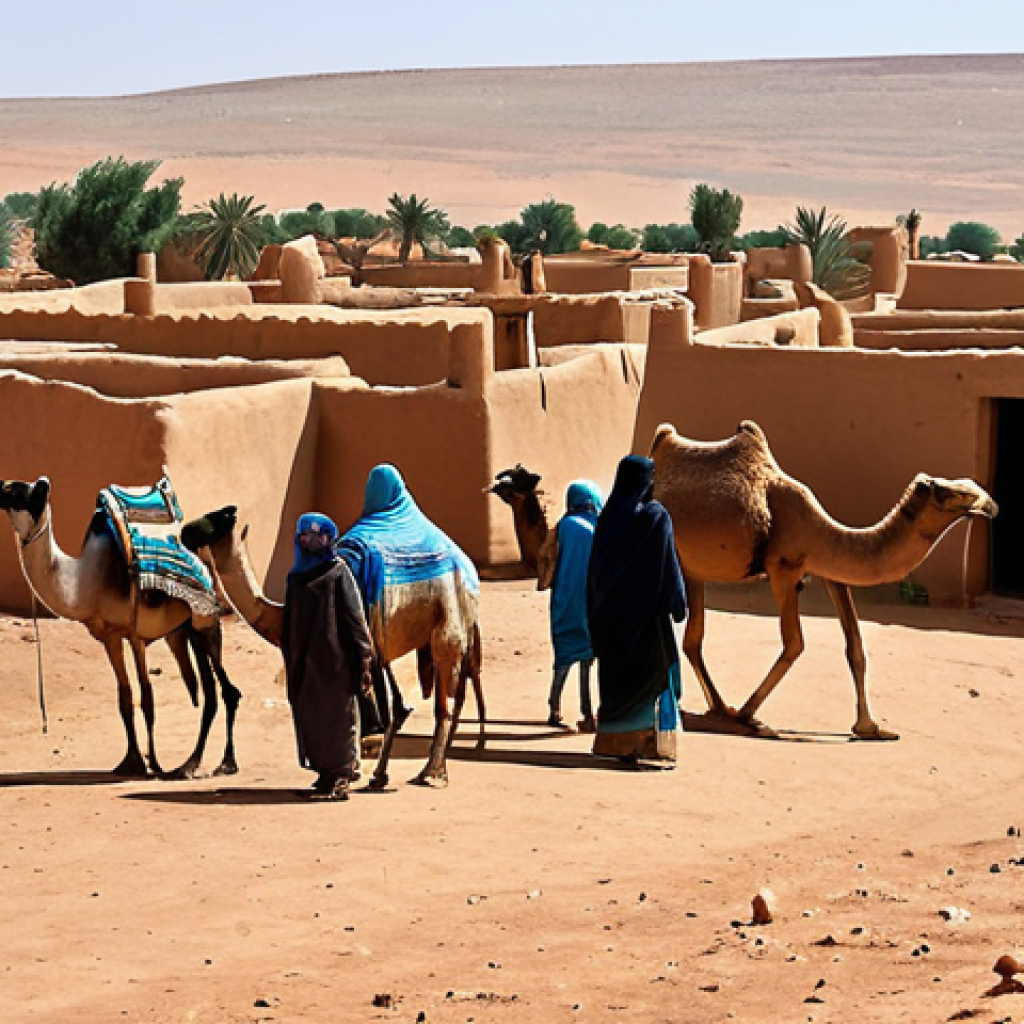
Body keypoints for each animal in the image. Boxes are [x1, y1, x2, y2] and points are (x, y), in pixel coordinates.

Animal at [0, 477, 241, 778]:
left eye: (18, 492)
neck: (83, 582)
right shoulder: (110, 636)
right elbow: (124, 697)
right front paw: (131, 762)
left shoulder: (135, 633)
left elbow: (147, 696)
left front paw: (153, 765)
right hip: (191, 628)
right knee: (210, 692)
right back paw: (190, 764)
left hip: (208, 622)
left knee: (227, 690)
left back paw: (223, 764)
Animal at [181, 506, 484, 788]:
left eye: (220, 517)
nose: (185, 531)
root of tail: (465, 564)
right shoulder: (370, 649)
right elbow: (382, 705)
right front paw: (364, 773)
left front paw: (349, 775)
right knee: (444, 695)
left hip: (449, 616)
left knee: (445, 699)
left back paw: (431, 774)